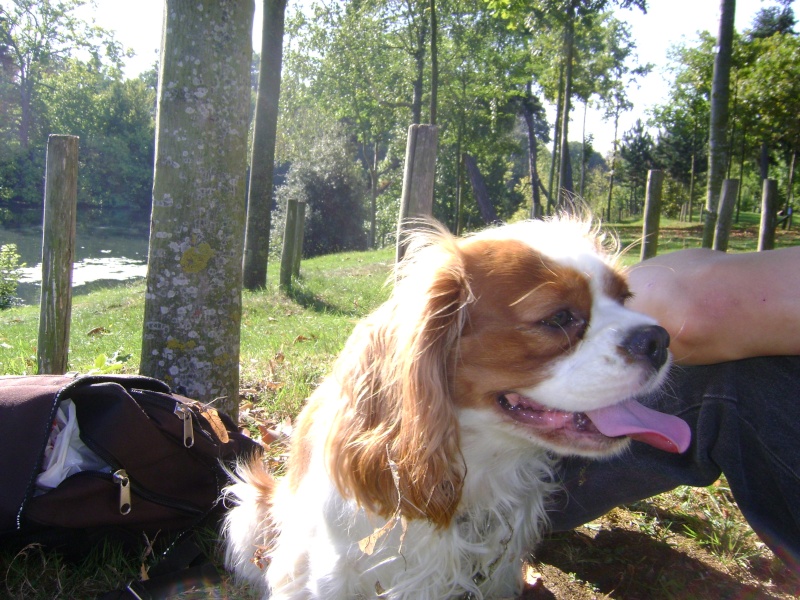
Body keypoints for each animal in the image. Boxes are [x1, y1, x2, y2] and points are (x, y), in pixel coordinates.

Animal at [222, 219, 692, 600]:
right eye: (559, 318)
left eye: (626, 298)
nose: (658, 339)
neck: (477, 469)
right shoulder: (336, 571)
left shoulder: (500, 569)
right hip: (251, 514)